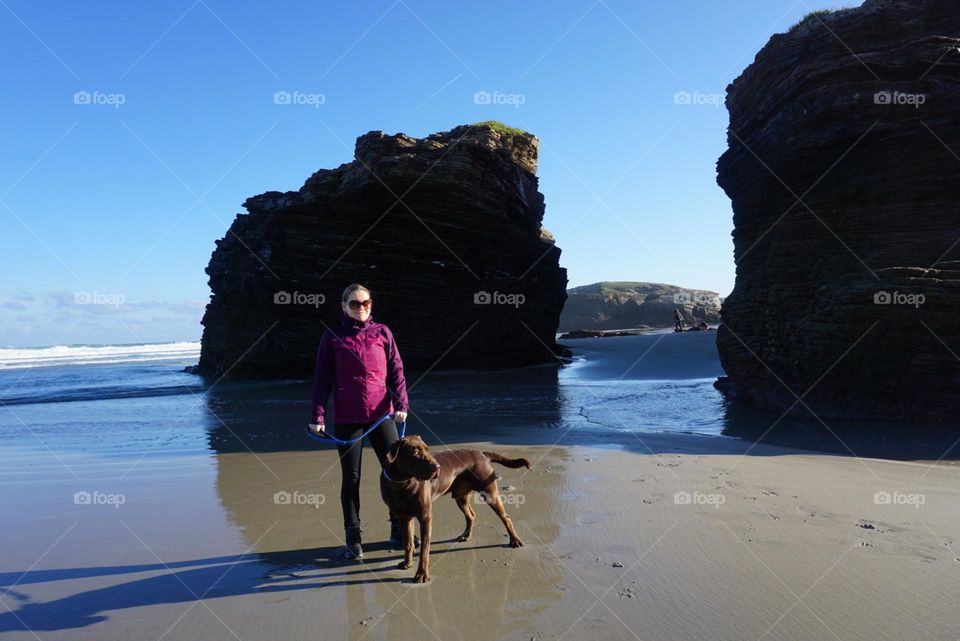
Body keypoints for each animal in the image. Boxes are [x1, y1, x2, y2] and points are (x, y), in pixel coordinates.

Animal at [380, 436, 532, 580]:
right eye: (415, 452)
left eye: (428, 450)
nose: (437, 467)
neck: (401, 484)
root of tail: (482, 453)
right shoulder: (403, 517)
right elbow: (408, 543)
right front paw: (407, 563)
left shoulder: (425, 517)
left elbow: (424, 549)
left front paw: (422, 574)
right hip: (461, 496)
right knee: (471, 515)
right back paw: (466, 535)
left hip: (490, 493)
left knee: (505, 517)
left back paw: (514, 540)